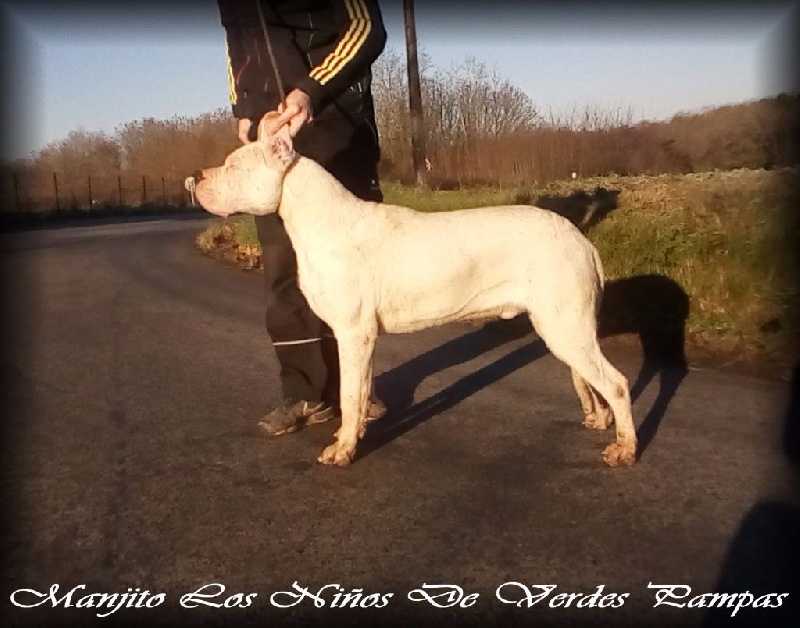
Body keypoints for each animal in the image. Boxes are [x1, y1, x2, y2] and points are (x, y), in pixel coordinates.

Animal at [188, 118, 636, 468]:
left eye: (234, 165)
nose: (197, 177)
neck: (320, 218)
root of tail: (583, 241)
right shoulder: (355, 336)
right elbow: (359, 391)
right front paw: (354, 435)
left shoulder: (354, 332)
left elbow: (349, 394)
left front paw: (342, 451)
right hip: (563, 328)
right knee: (590, 379)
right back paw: (600, 422)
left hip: (565, 326)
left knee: (615, 383)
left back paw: (625, 449)